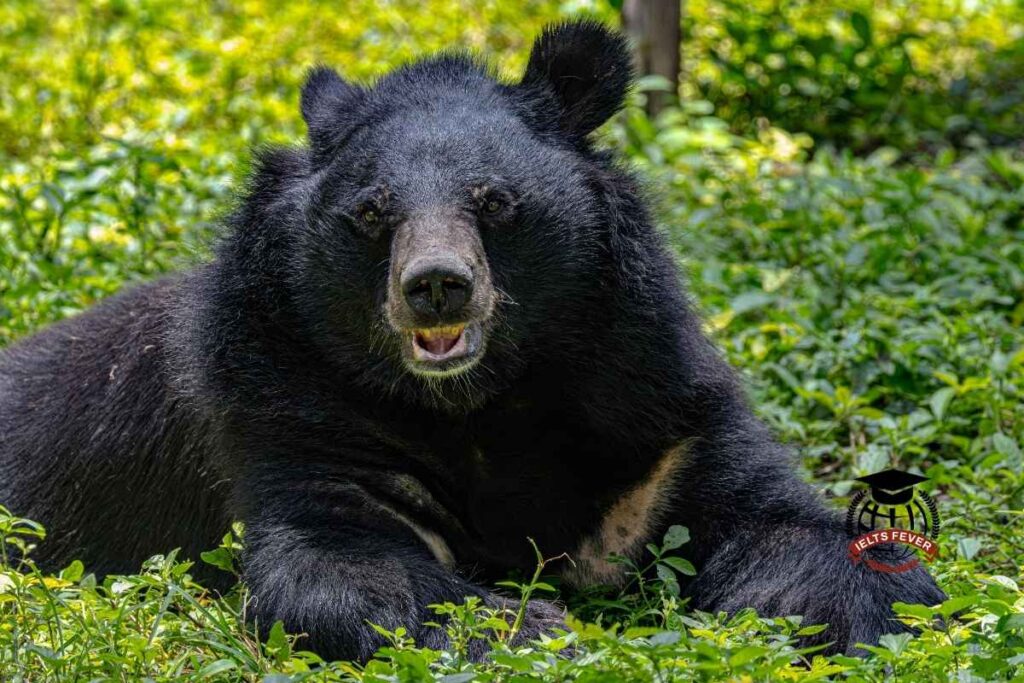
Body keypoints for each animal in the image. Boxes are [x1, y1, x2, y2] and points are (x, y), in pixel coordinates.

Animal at [0, 20, 943, 662]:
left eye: (494, 201)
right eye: (373, 211)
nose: (436, 285)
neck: (481, 403)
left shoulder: (652, 402)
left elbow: (783, 522)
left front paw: (864, 612)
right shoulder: (287, 408)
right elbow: (336, 571)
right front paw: (533, 624)